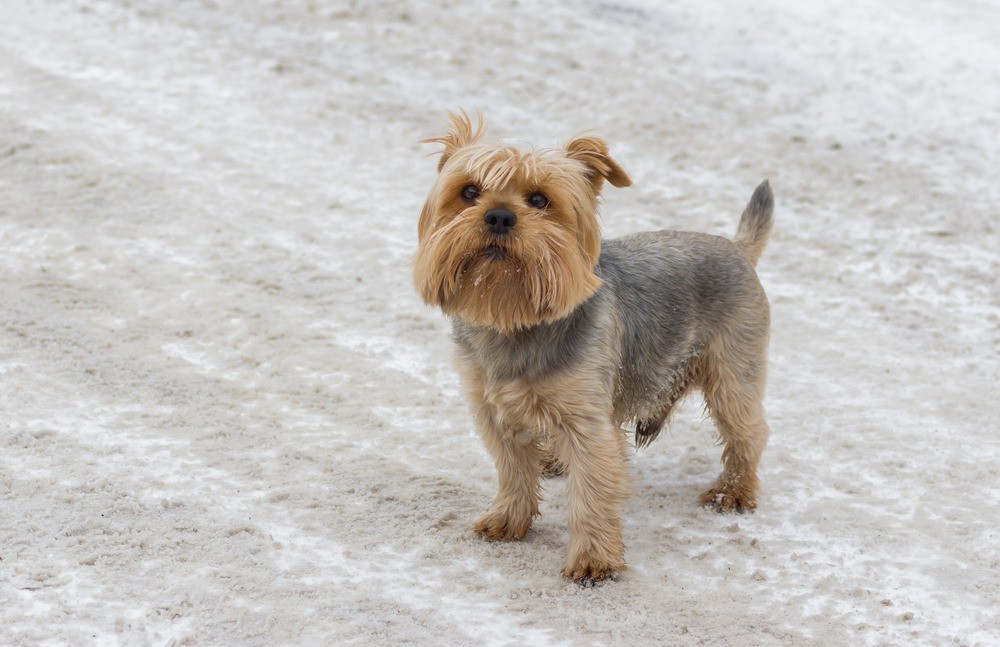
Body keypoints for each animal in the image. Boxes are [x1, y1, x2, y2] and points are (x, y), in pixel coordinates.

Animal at [414, 111, 772, 584]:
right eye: (469, 192)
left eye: (540, 200)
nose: (499, 216)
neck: (515, 317)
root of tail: (737, 248)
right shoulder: (492, 409)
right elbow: (513, 470)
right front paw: (508, 519)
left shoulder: (587, 422)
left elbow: (592, 492)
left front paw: (593, 560)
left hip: (734, 371)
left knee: (747, 431)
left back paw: (733, 492)